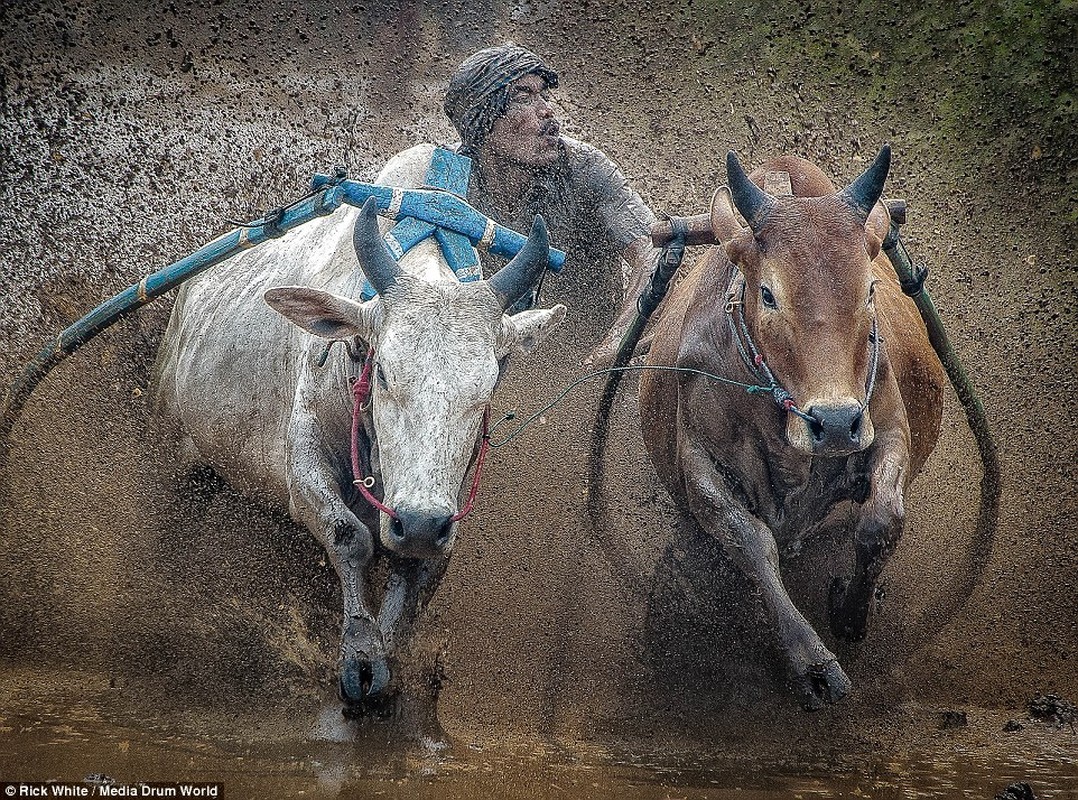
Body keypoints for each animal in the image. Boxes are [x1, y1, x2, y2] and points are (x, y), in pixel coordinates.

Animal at [157, 144, 573, 707]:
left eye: (487, 387)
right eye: (384, 373)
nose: (419, 523)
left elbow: (416, 566)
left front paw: (385, 658)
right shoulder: (304, 465)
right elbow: (348, 536)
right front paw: (359, 654)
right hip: (174, 451)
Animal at [638, 147, 944, 711]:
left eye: (870, 288)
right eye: (768, 294)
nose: (835, 424)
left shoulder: (888, 426)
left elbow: (882, 520)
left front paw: (850, 611)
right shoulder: (699, 462)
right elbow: (753, 543)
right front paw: (813, 664)